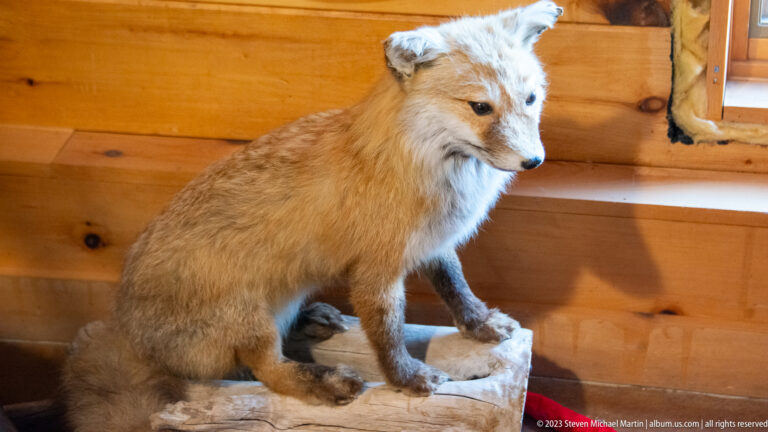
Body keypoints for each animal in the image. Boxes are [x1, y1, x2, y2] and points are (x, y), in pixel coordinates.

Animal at [62, 2, 562, 431]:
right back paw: (326, 381)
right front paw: (407, 379)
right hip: (249, 315)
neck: (423, 166)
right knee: (268, 371)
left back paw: (311, 319)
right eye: (480, 107)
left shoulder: (432, 243)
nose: (533, 161)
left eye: (531, 98)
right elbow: (388, 333)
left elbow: (456, 288)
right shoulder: (376, 272)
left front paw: (481, 325)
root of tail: (127, 329)